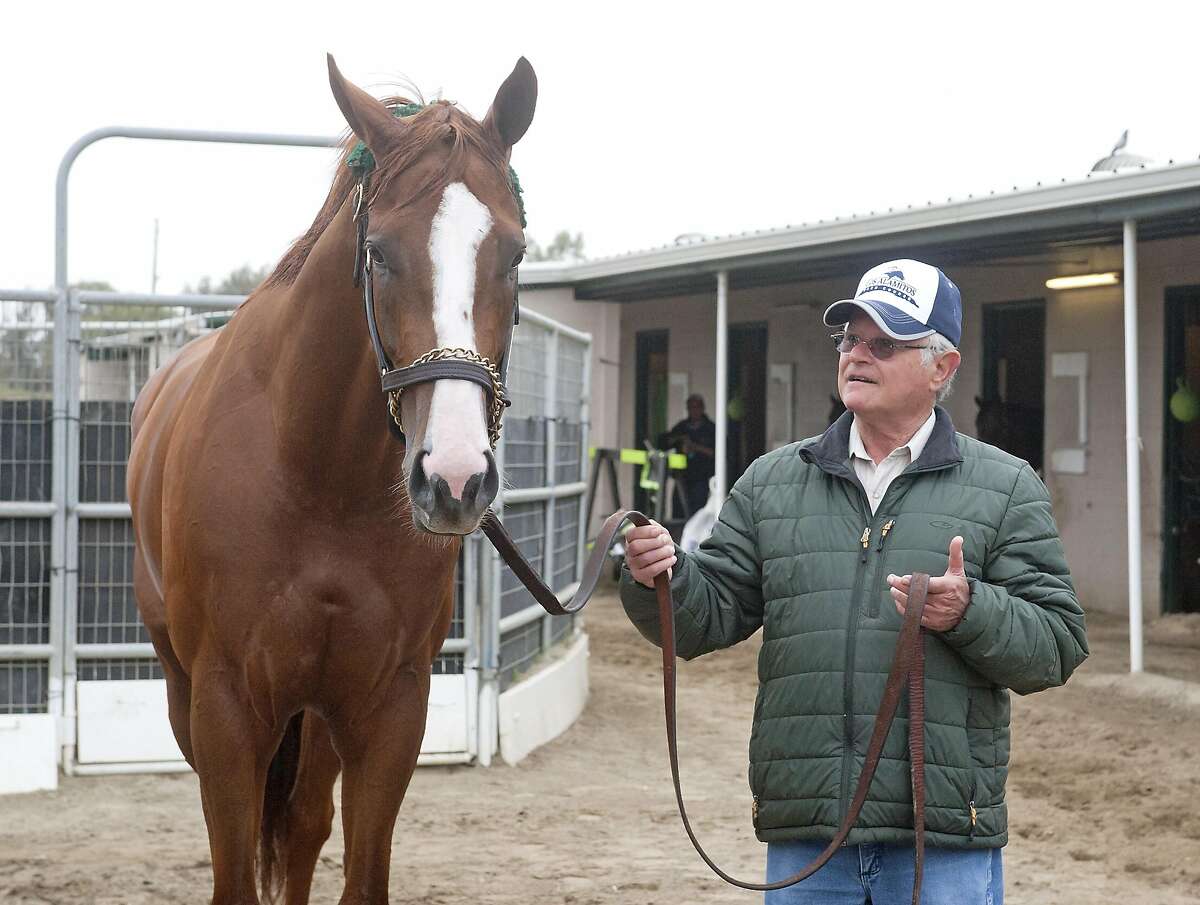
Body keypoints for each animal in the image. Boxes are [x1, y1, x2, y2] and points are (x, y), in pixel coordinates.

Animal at [126, 58, 535, 902]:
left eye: (512, 254)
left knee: (305, 824)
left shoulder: (390, 708)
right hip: (185, 688)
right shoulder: (226, 708)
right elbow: (236, 870)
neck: (319, 478)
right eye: (377, 251)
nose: (454, 478)